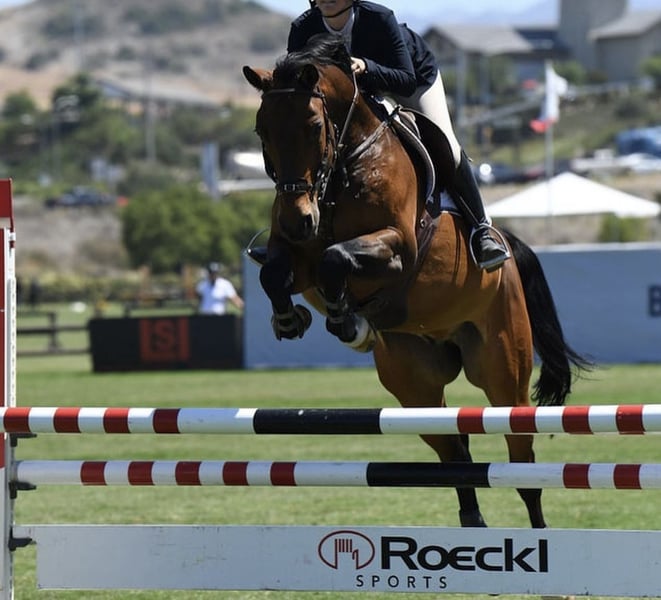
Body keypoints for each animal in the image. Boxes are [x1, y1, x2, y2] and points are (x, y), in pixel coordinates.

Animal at [243, 34, 590, 529]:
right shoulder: (295, 254)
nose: (298, 221)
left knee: (521, 463)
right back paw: (473, 524)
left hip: (502, 369)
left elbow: (335, 258)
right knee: (455, 452)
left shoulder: (397, 250)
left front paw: (348, 321)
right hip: (414, 384)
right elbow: (275, 271)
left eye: (312, 126)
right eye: (262, 131)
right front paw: (291, 320)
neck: (344, 168)